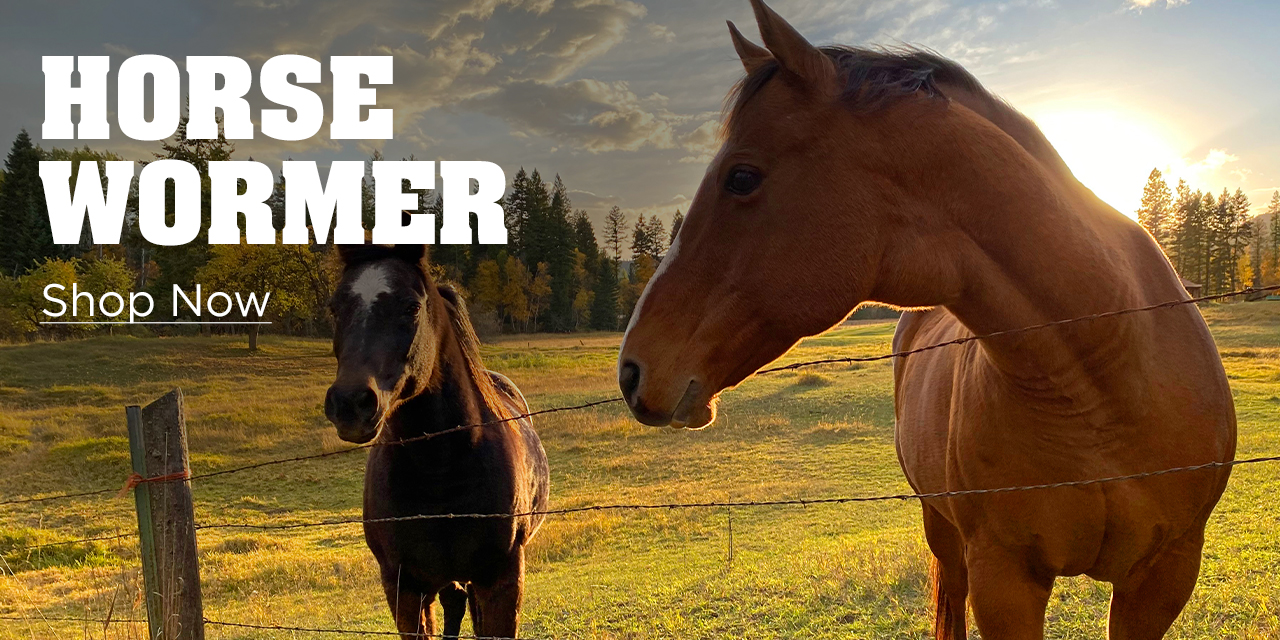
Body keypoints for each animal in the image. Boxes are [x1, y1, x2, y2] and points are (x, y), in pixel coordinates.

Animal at [324, 243, 549, 640]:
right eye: (335, 307)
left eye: (412, 306)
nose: (350, 404)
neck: (439, 468)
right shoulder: (403, 588)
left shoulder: (501, 581)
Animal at [616, 2, 1235, 638]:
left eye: (741, 177)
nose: (632, 371)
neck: (1103, 378)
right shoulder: (1003, 578)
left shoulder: (1164, 575)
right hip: (941, 526)